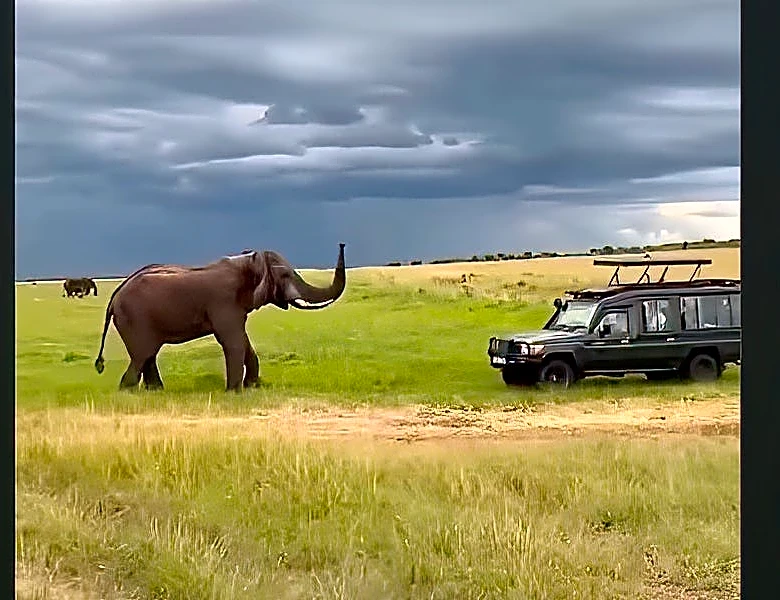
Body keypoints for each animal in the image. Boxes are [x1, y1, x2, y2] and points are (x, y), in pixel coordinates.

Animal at [94, 244, 346, 392]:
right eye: (284, 275)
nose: (342, 243)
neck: (248, 263)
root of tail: (114, 296)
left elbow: (244, 342)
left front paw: (252, 387)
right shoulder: (223, 303)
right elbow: (233, 342)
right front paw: (234, 391)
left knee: (148, 356)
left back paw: (156, 391)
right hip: (134, 319)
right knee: (142, 355)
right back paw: (128, 391)